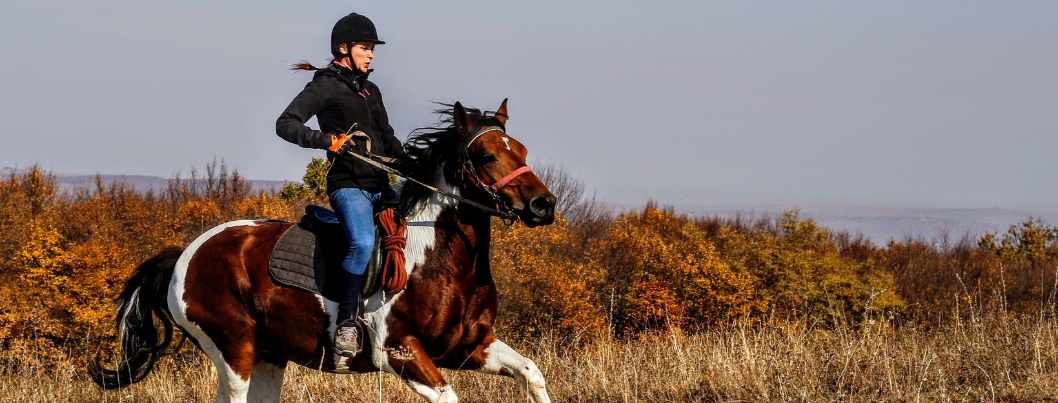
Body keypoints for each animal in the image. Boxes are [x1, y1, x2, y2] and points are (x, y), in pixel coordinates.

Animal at [88, 99, 562, 401]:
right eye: (485, 156)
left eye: (521, 150)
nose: (544, 205)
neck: (441, 260)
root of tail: (184, 256)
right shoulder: (400, 352)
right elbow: (448, 396)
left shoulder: (469, 347)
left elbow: (532, 373)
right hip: (234, 351)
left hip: (269, 358)